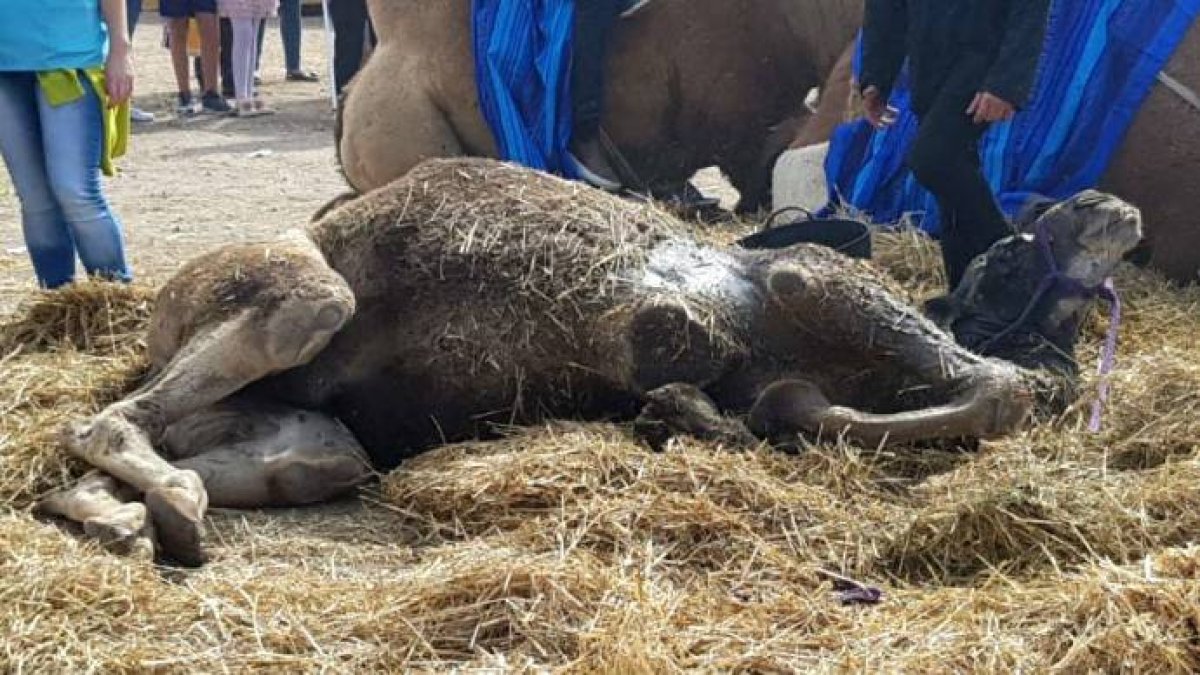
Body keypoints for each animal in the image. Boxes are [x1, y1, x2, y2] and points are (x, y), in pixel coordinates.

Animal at [39, 157, 1142, 562]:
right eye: (1009, 254)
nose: (1115, 211)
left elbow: (782, 398)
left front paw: (692, 409)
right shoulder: (799, 285)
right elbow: (994, 391)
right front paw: (694, 407)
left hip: (317, 435)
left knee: (182, 445)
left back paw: (122, 516)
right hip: (307, 296)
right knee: (105, 418)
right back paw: (159, 512)